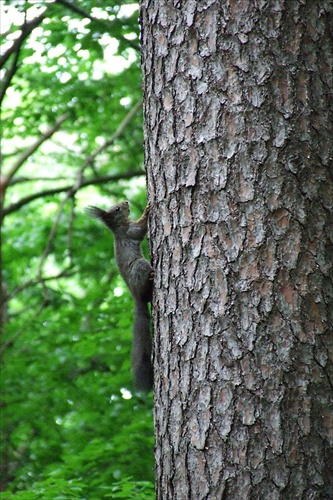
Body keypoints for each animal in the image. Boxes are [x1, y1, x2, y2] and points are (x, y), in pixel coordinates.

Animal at [85, 201, 153, 392]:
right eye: (117, 209)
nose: (126, 202)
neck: (117, 226)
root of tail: (136, 296)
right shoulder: (129, 230)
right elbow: (139, 229)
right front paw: (146, 211)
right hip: (140, 267)